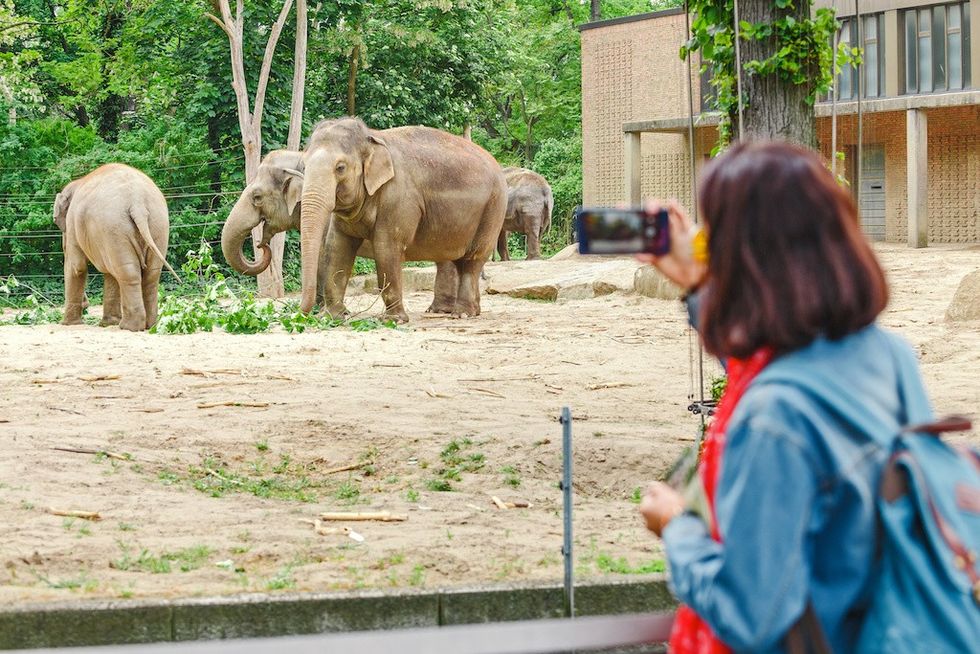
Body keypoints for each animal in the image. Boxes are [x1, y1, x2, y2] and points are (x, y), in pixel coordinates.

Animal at [54, 163, 178, 331]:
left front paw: (68, 324)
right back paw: (150, 325)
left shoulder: (73, 223)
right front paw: (108, 324)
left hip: (114, 226)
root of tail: (137, 201)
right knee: (150, 274)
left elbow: (76, 267)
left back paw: (128, 326)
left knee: (128, 272)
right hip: (158, 225)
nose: (86, 305)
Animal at [297, 117, 507, 323]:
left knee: (473, 259)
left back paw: (462, 314)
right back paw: (456, 311)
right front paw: (330, 317)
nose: (301, 315)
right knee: (453, 257)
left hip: (493, 209)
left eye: (340, 168)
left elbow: (386, 248)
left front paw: (393, 320)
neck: (372, 136)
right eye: (304, 166)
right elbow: (337, 248)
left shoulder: (398, 197)